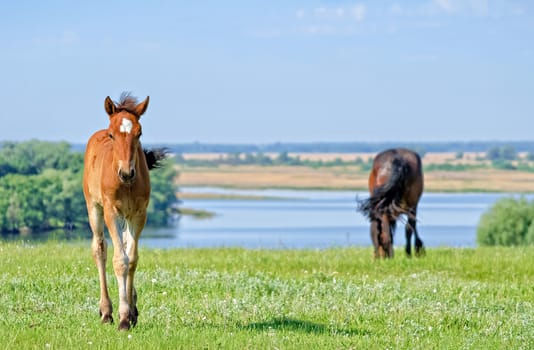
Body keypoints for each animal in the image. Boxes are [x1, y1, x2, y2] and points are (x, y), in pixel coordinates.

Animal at [84, 93, 166, 330]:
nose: (127, 172)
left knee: (127, 248)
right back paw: (106, 312)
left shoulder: (138, 214)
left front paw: (130, 313)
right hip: (94, 208)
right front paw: (122, 318)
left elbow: (132, 259)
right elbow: (120, 261)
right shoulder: (111, 212)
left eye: (139, 133)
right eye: (112, 135)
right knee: (100, 249)